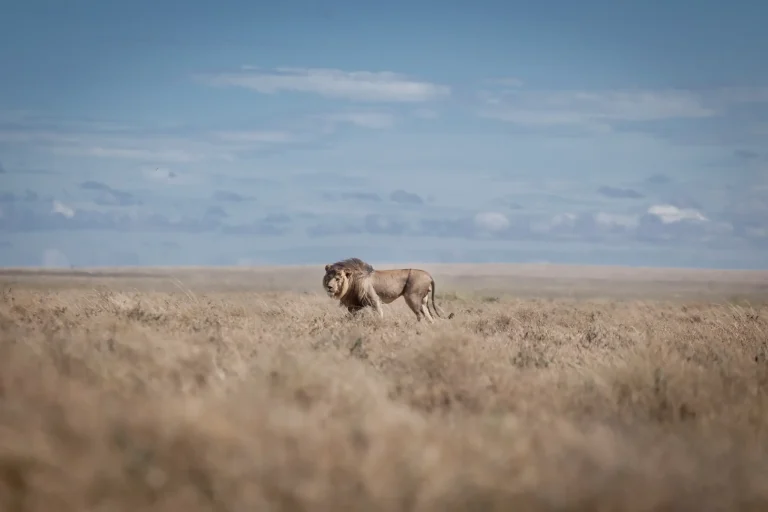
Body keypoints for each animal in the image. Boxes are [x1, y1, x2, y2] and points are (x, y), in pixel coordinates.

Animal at [322, 257, 453, 322]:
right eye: (328, 277)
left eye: (337, 279)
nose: (329, 287)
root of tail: (429, 276)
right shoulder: (354, 305)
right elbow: (351, 316)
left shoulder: (373, 299)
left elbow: (379, 313)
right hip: (423, 301)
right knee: (428, 316)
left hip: (412, 297)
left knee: (420, 315)